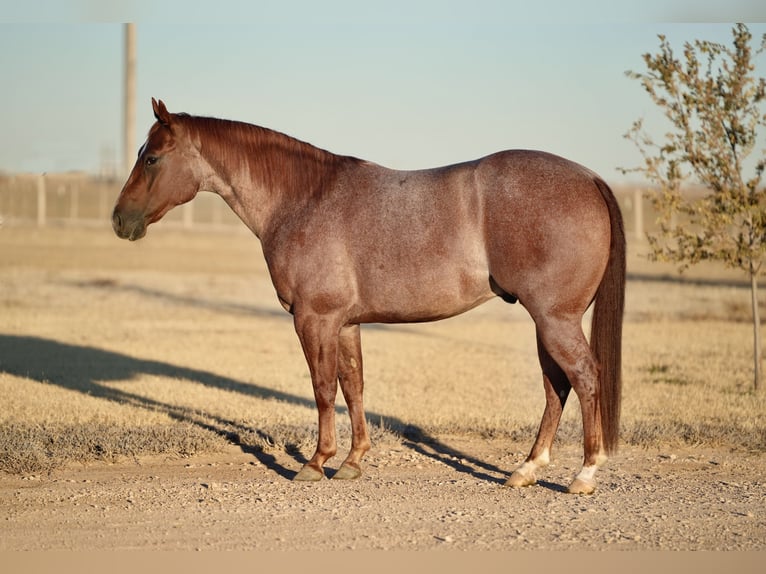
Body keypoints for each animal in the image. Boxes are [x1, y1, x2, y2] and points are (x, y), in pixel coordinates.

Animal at [115, 99, 632, 496]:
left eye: (152, 158)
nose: (120, 220)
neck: (303, 199)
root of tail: (589, 178)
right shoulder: (345, 322)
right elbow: (354, 385)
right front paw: (353, 461)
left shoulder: (315, 319)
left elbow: (323, 389)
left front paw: (315, 462)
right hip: (547, 322)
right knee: (556, 386)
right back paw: (526, 469)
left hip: (555, 319)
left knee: (584, 378)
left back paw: (584, 474)